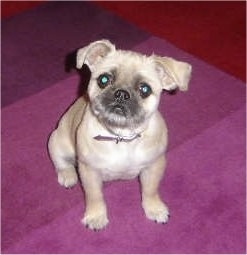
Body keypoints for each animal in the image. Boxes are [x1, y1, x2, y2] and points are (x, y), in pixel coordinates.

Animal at [47, 38, 191, 230]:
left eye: (145, 89)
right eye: (104, 79)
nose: (121, 94)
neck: (121, 136)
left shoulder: (154, 166)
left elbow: (150, 190)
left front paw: (154, 208)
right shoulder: (89, 171)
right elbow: (95, 197)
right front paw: (96, 216)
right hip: (57, 143)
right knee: (61, 163)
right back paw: (68, 175)